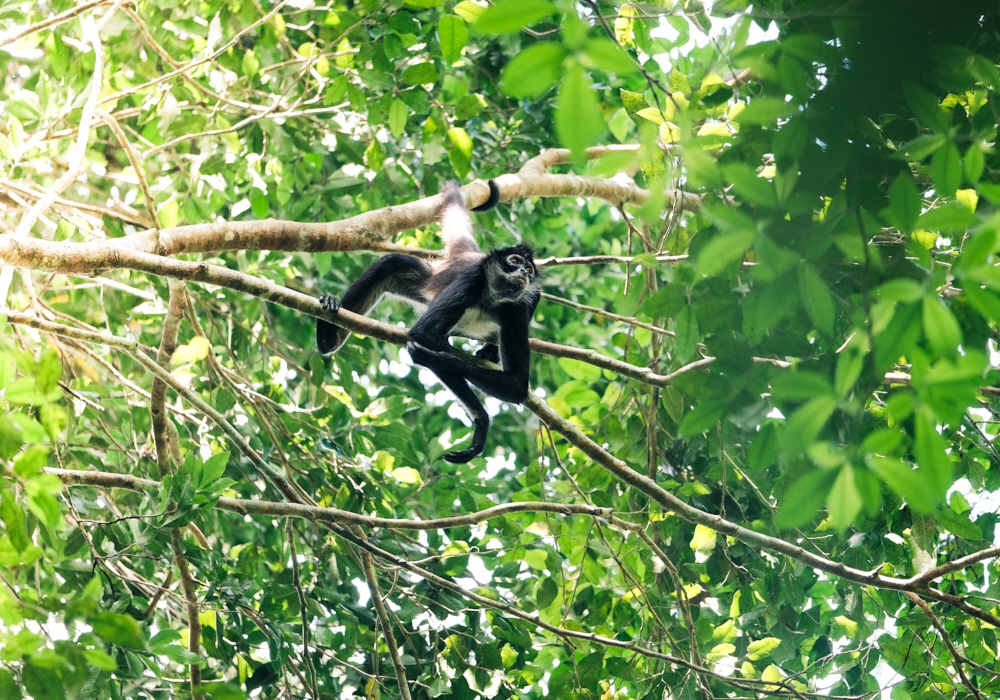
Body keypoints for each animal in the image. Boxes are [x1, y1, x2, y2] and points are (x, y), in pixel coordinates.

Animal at [318, 182, 540, 464]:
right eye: (514, 262)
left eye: (529, 270)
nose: (523, 273)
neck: (490, 298)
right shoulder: (470, 281)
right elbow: (424, 334)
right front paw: (481, 416)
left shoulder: (515, 307)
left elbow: (516, 385)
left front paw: (442, 363)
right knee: (392, 262)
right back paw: (327, 337)